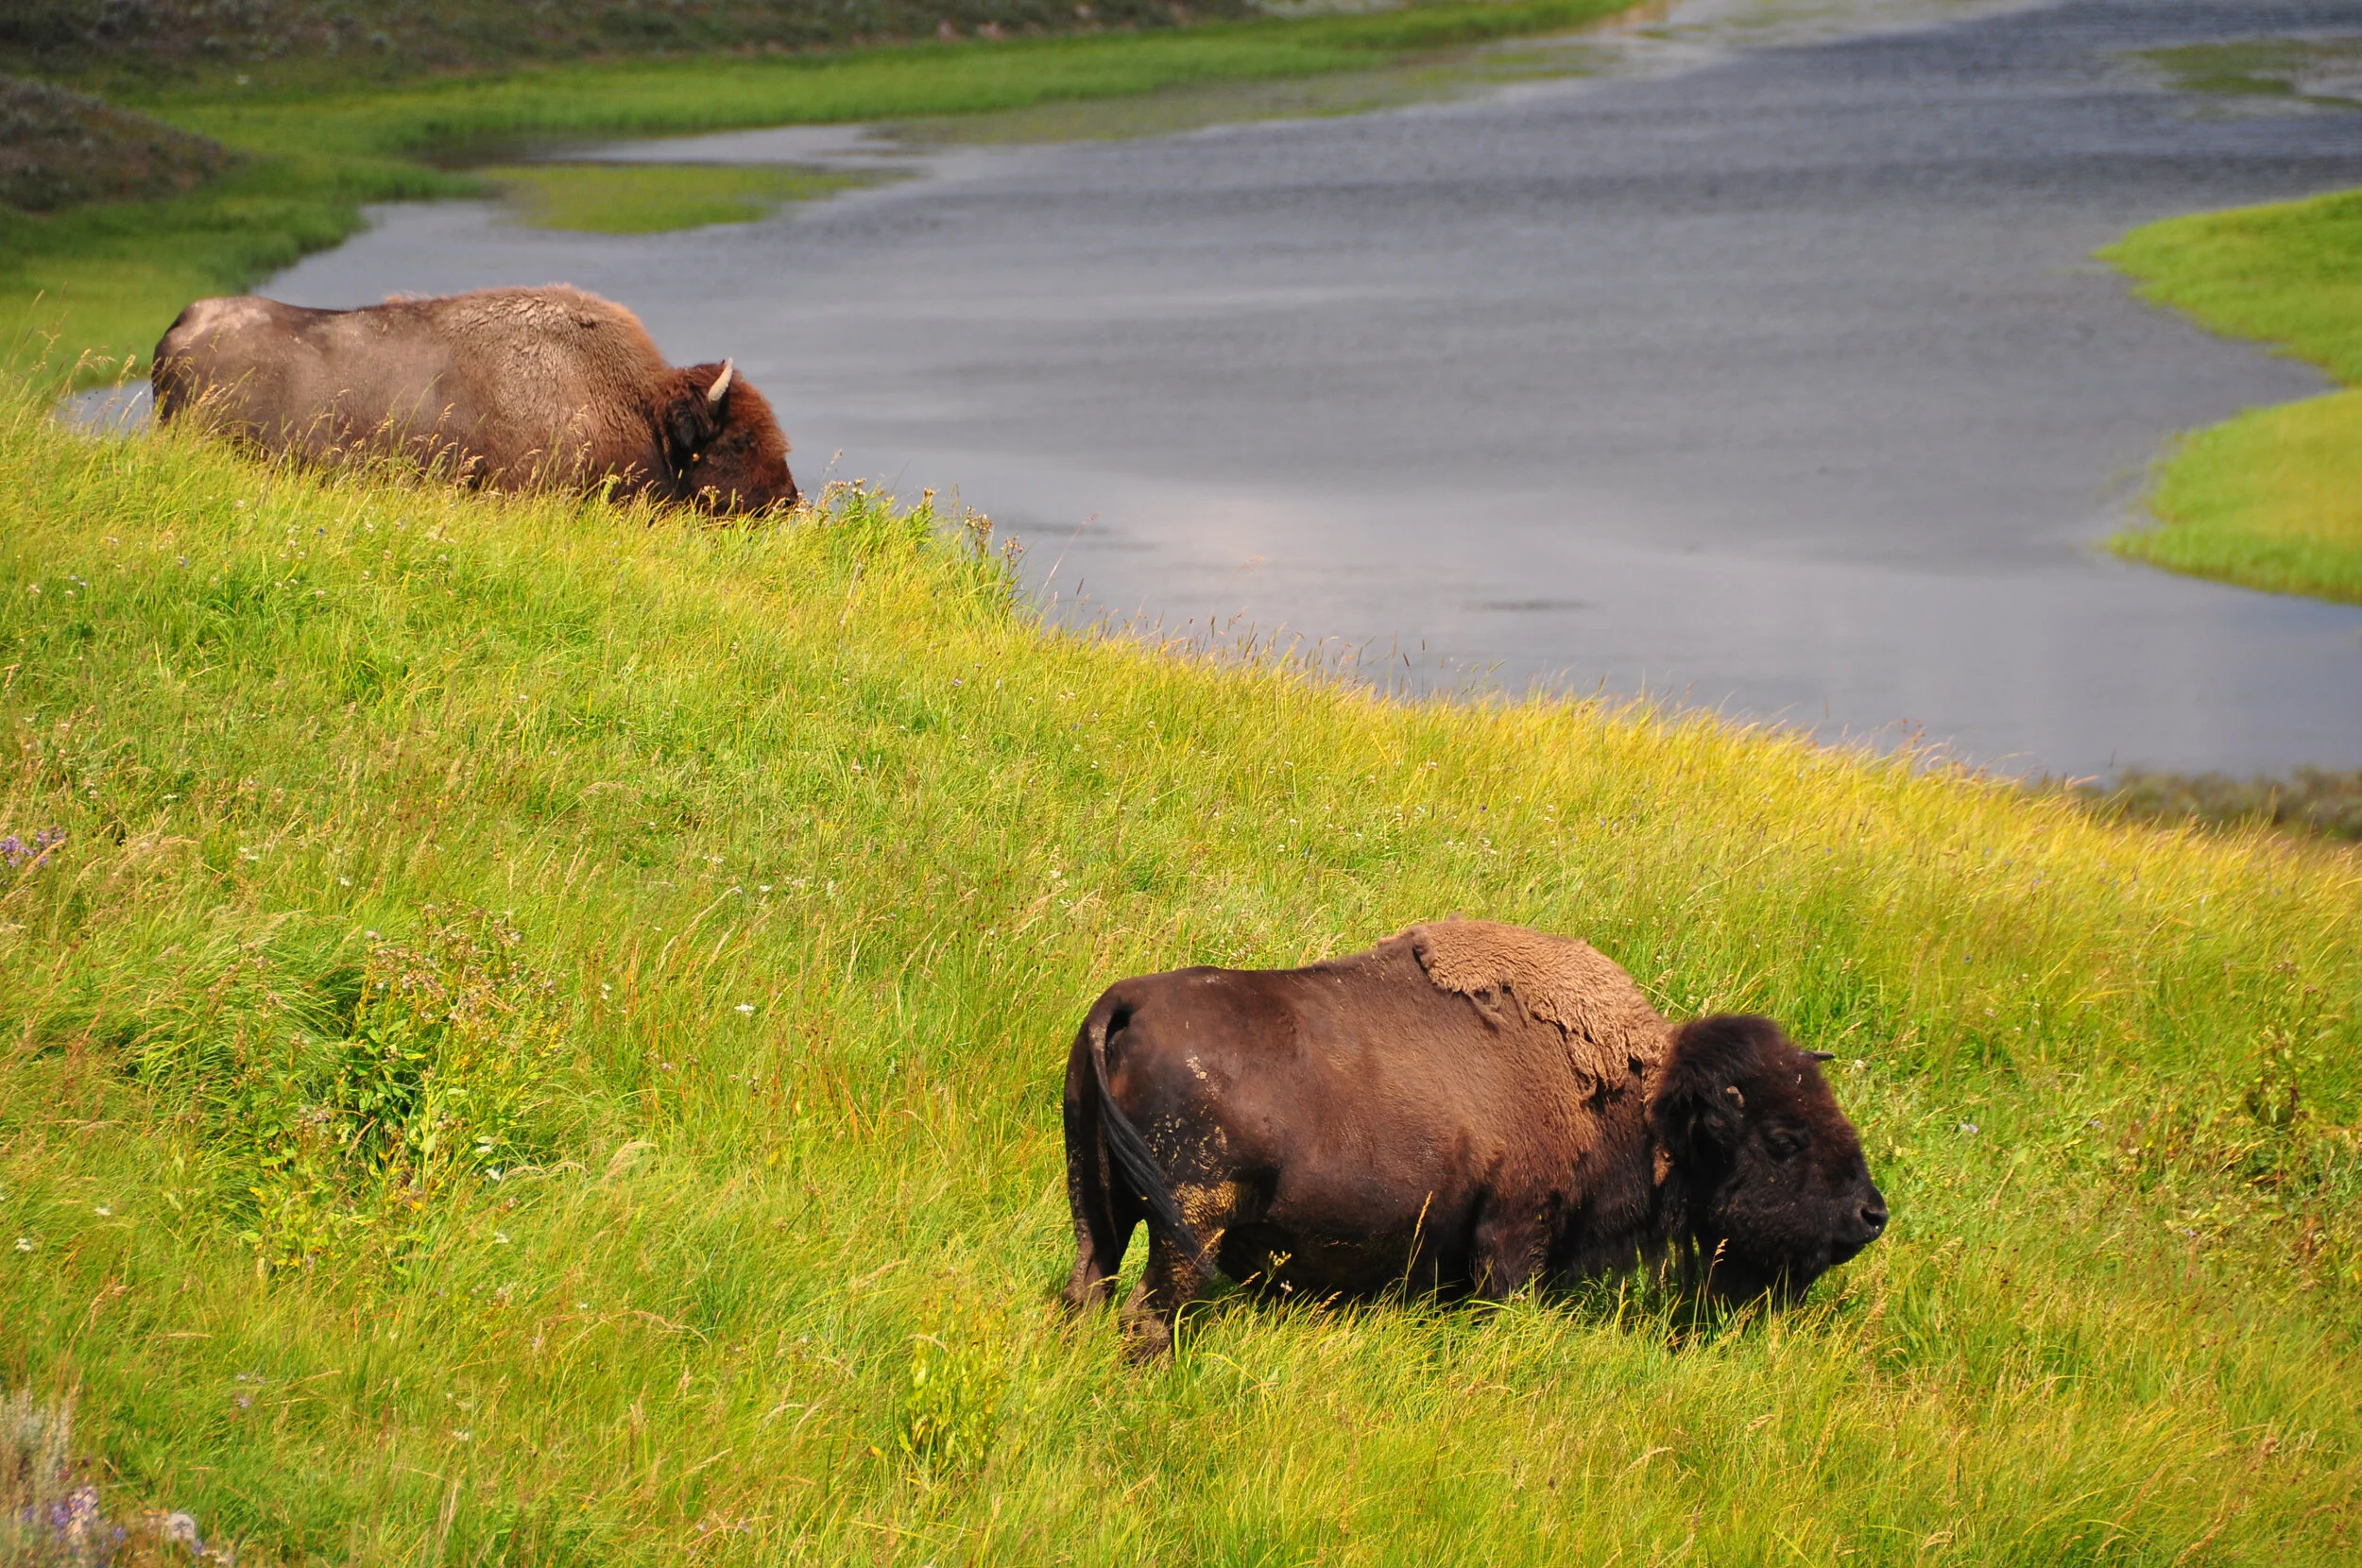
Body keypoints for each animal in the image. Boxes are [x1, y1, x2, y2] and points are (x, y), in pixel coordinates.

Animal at [1062, 919, 1887, 1357]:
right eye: (1783, 1140)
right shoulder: (1512, 1238)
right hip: (1189, 1225)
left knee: (1088, 1286)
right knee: (1147, 1310)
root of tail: (1122, 1002)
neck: (1641, 1104)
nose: (1872, 1214)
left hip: (1097, 1207)